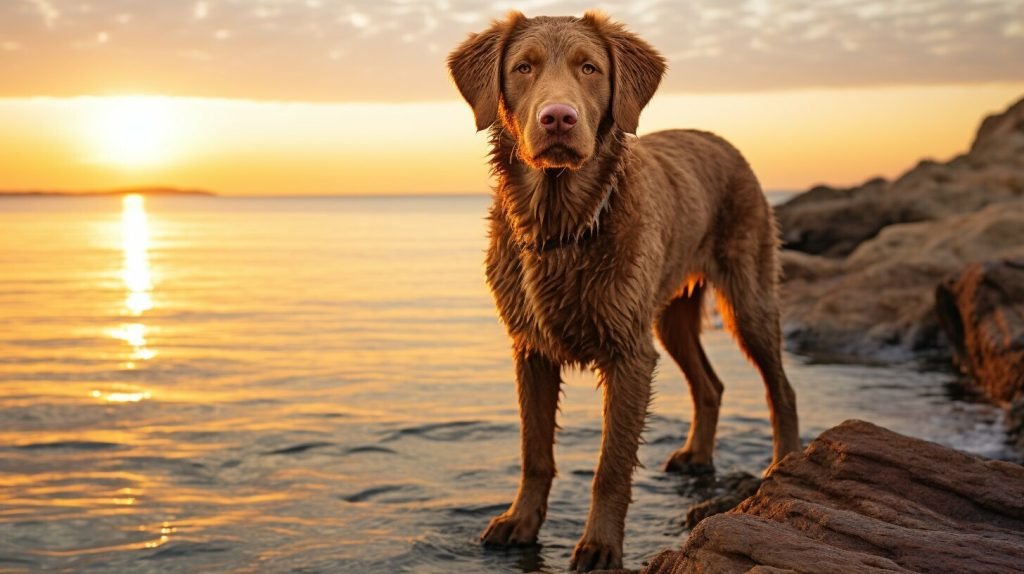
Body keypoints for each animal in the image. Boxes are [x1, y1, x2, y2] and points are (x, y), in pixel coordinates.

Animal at [448, 11, 798, 568]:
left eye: (589, 68)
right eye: (523, 67)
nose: (558, 118)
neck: (563, 226)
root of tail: (723, 140)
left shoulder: (630, 354)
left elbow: (610, 466)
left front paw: (600, 545)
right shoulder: (531, 349)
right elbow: (534, 451)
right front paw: (520, 521)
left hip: (747, 300)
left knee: (780, 387)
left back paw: (782, 467)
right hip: (669, 317)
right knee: (710, 385)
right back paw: (697, 455)